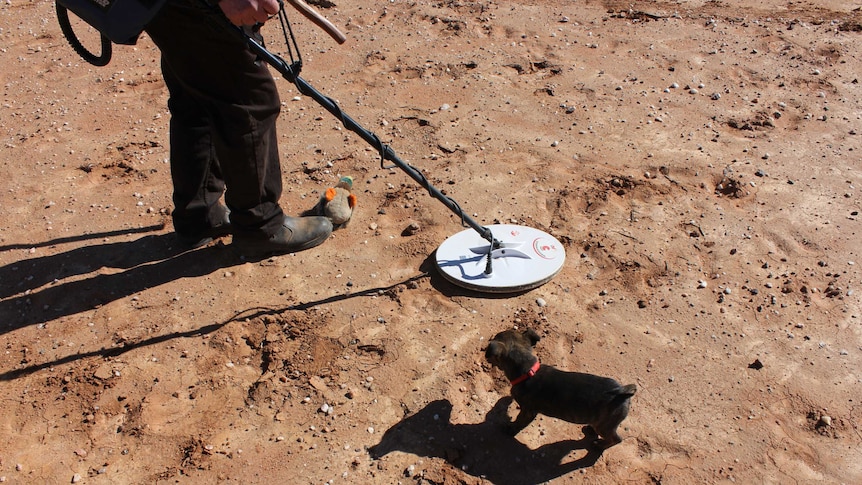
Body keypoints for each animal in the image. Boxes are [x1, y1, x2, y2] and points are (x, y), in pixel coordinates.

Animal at [490, 328, 636, 448]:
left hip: (606, 426)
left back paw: (599, 445)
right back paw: (590, 430)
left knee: (616, 439)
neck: (528, 371)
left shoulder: (528, 411)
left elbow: (519, 422)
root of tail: (622, 391)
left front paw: (511, 429)